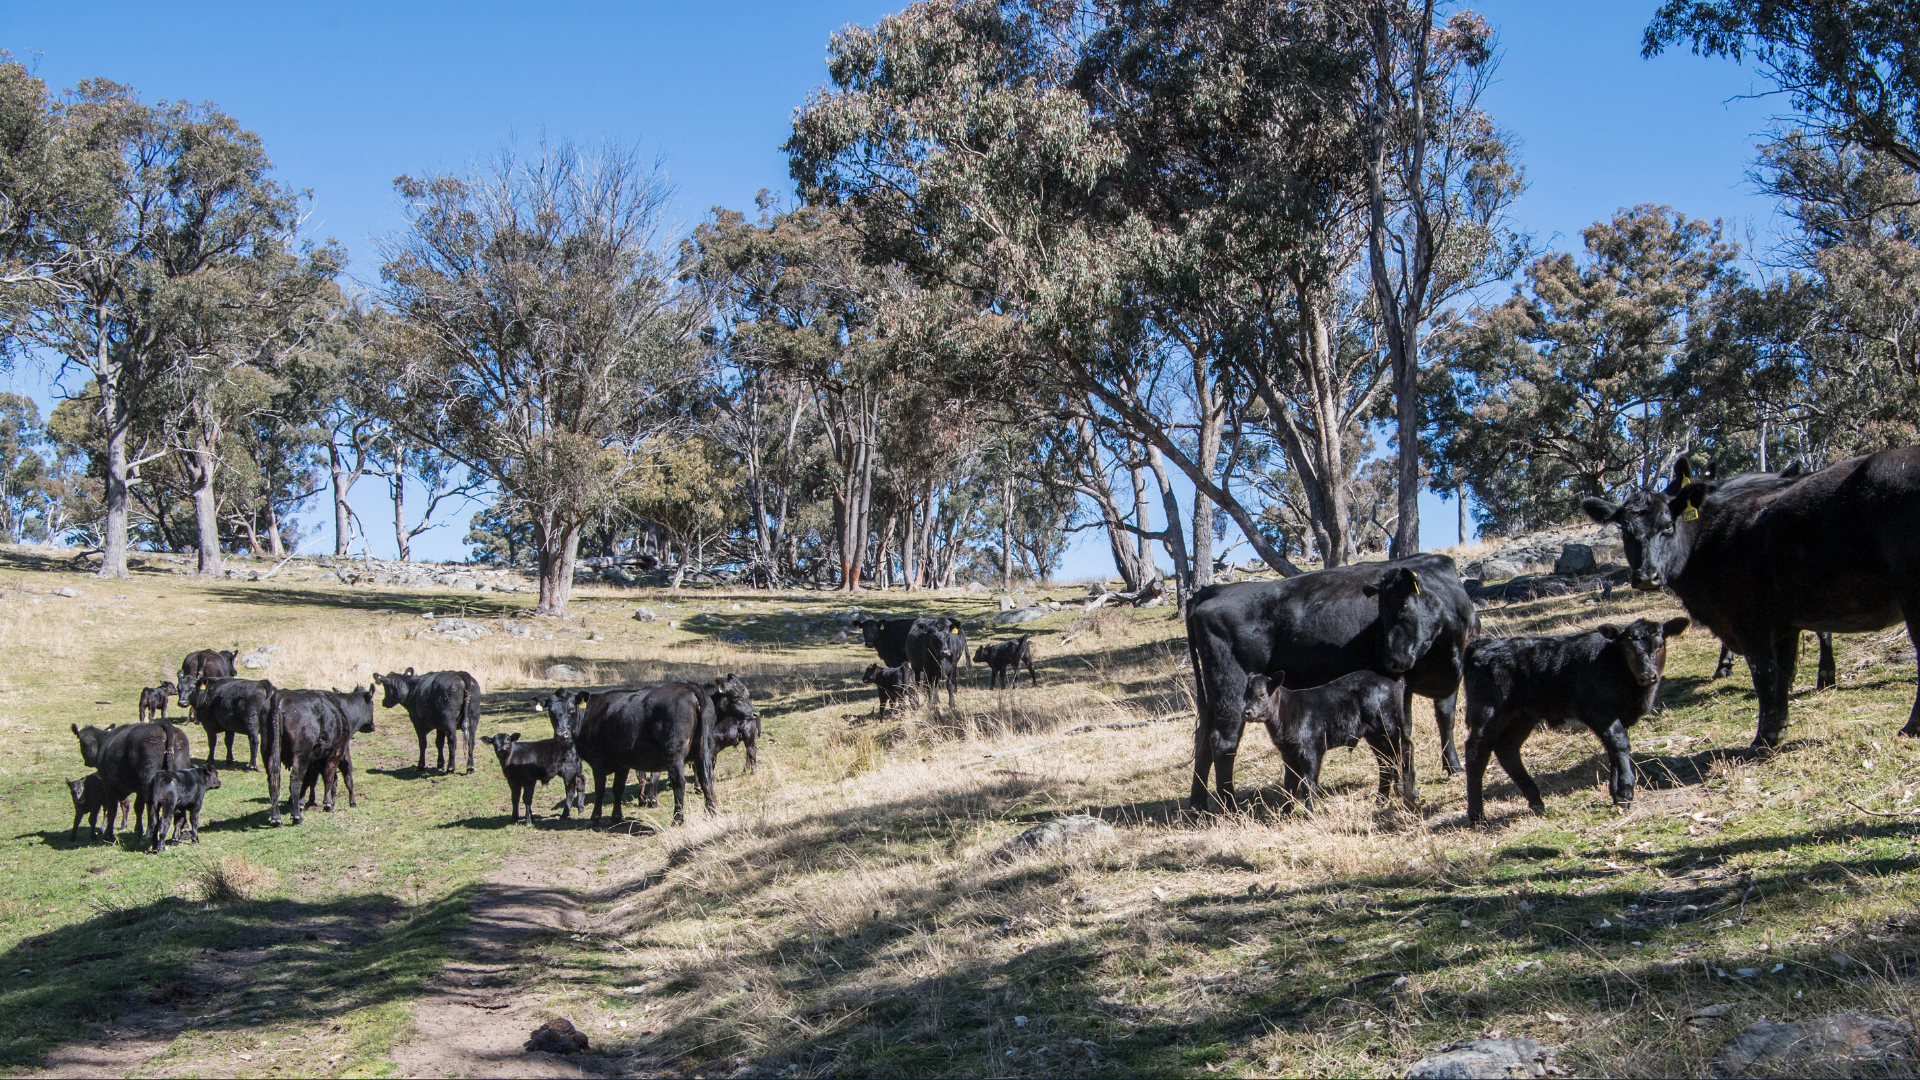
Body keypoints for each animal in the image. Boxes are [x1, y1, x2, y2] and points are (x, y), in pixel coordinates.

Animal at [571, 682, 716, 826]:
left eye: (571, 710)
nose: (564, 732)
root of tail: (688, 686)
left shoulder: (597, 761)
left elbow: (600, 789)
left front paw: (594, 818)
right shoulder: (622, 763)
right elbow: (618, 788)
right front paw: (616, 816)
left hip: (674, 753)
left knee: (679, 782)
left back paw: (677, 819)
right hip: (703, 749)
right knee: (706, 779)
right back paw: (710, 813)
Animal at [1240, 670, 1413, 811]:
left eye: (1262, 694)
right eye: (1245, 695)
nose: (1247, 712)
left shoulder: (1311, 749)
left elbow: (1309, 783)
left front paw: (1310, 813)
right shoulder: (1288, 753)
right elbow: (1289, 783)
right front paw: (1285, 813)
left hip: (1390, 727)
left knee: (1404, 751)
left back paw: (1407, 794)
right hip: (1375, 736)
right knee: (1385, 764)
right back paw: (1380, 801)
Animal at [1461, 617, 1690, 824]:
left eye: (1660, 645)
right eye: (1627, 647)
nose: (1647, 676)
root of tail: (1482, 644)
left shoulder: (1618, 716)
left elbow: (1613, 750)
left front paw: (1616, 795)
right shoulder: (1599, 713)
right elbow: (1619, 743)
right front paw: (1625, 792)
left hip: (1522, 716)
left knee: (1507, 749)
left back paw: (1536, 800)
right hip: (1488, 713)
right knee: (1476, 752)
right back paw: (1477, 816)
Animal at [1583, 450, 1920, 749]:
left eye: (1667, 525)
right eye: (1625, 530)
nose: (1646, 576)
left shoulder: (1749, 619)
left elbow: (1764, 674)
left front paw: (1764, 738)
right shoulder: (1784, 623)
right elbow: (1783, 672)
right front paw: (1780, 726)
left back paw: (1911, 727)